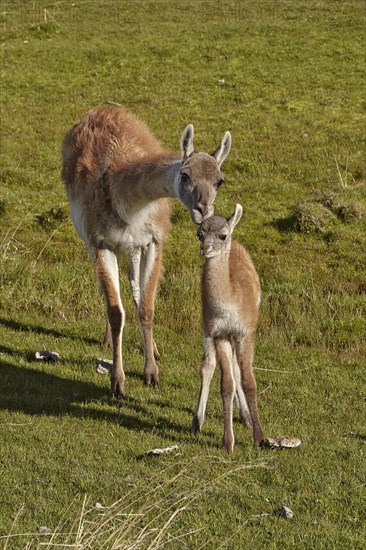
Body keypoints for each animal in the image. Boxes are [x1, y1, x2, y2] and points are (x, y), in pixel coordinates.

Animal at [190, 205, 264, 454]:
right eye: (199, 234)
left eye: (222, 235)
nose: (206, 249)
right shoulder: (219, 333)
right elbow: (226, 385)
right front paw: (228, 442)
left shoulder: (245, 333)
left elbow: (249, 381)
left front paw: (259, 437)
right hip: (206, 324)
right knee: (208, 365)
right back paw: (197, 421)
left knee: (236, 368)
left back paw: (247, 417)